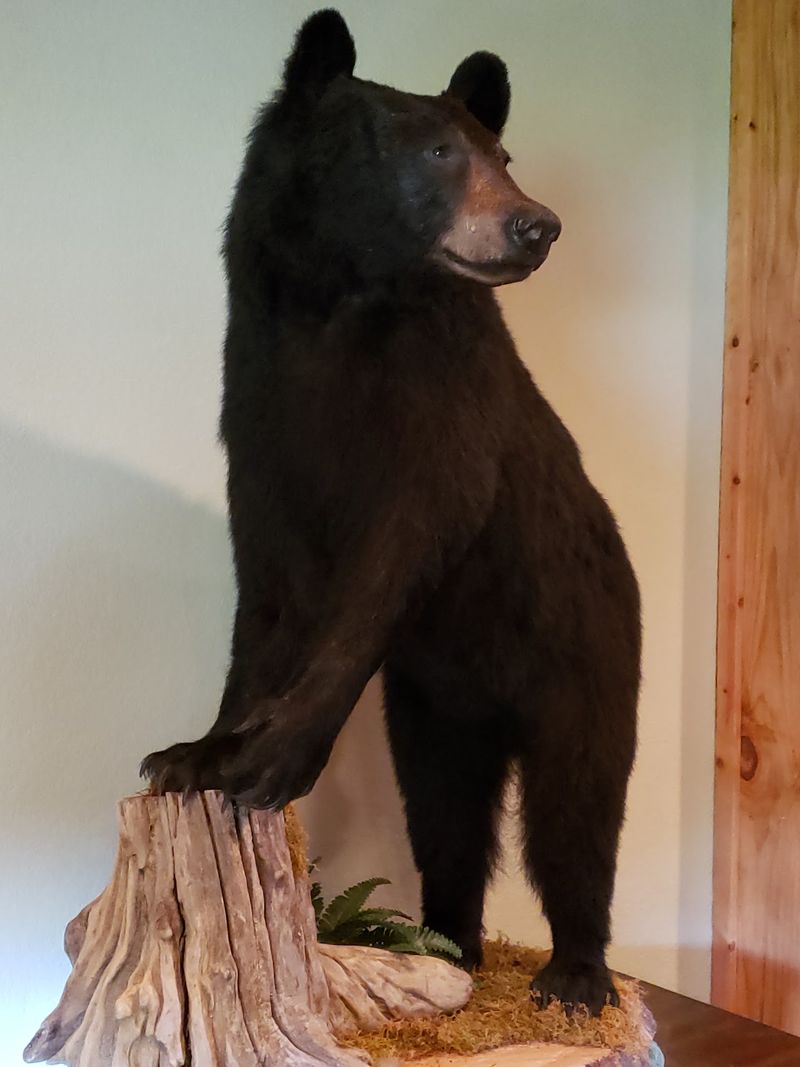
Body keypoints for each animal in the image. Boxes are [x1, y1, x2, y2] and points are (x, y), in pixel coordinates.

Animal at [142, 8, 640, 1016]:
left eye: (501, 152)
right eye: (437, 150)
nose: (537, 224)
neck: (341, 306)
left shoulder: (443, 404)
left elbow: (402, 550)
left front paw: (275, 752)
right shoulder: (262, 413)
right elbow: (268, 586)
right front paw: (197, 751)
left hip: (586, 647)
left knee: (578, 802)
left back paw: (574, 972)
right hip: (435, 706)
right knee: (445, 811)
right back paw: (450, 941)